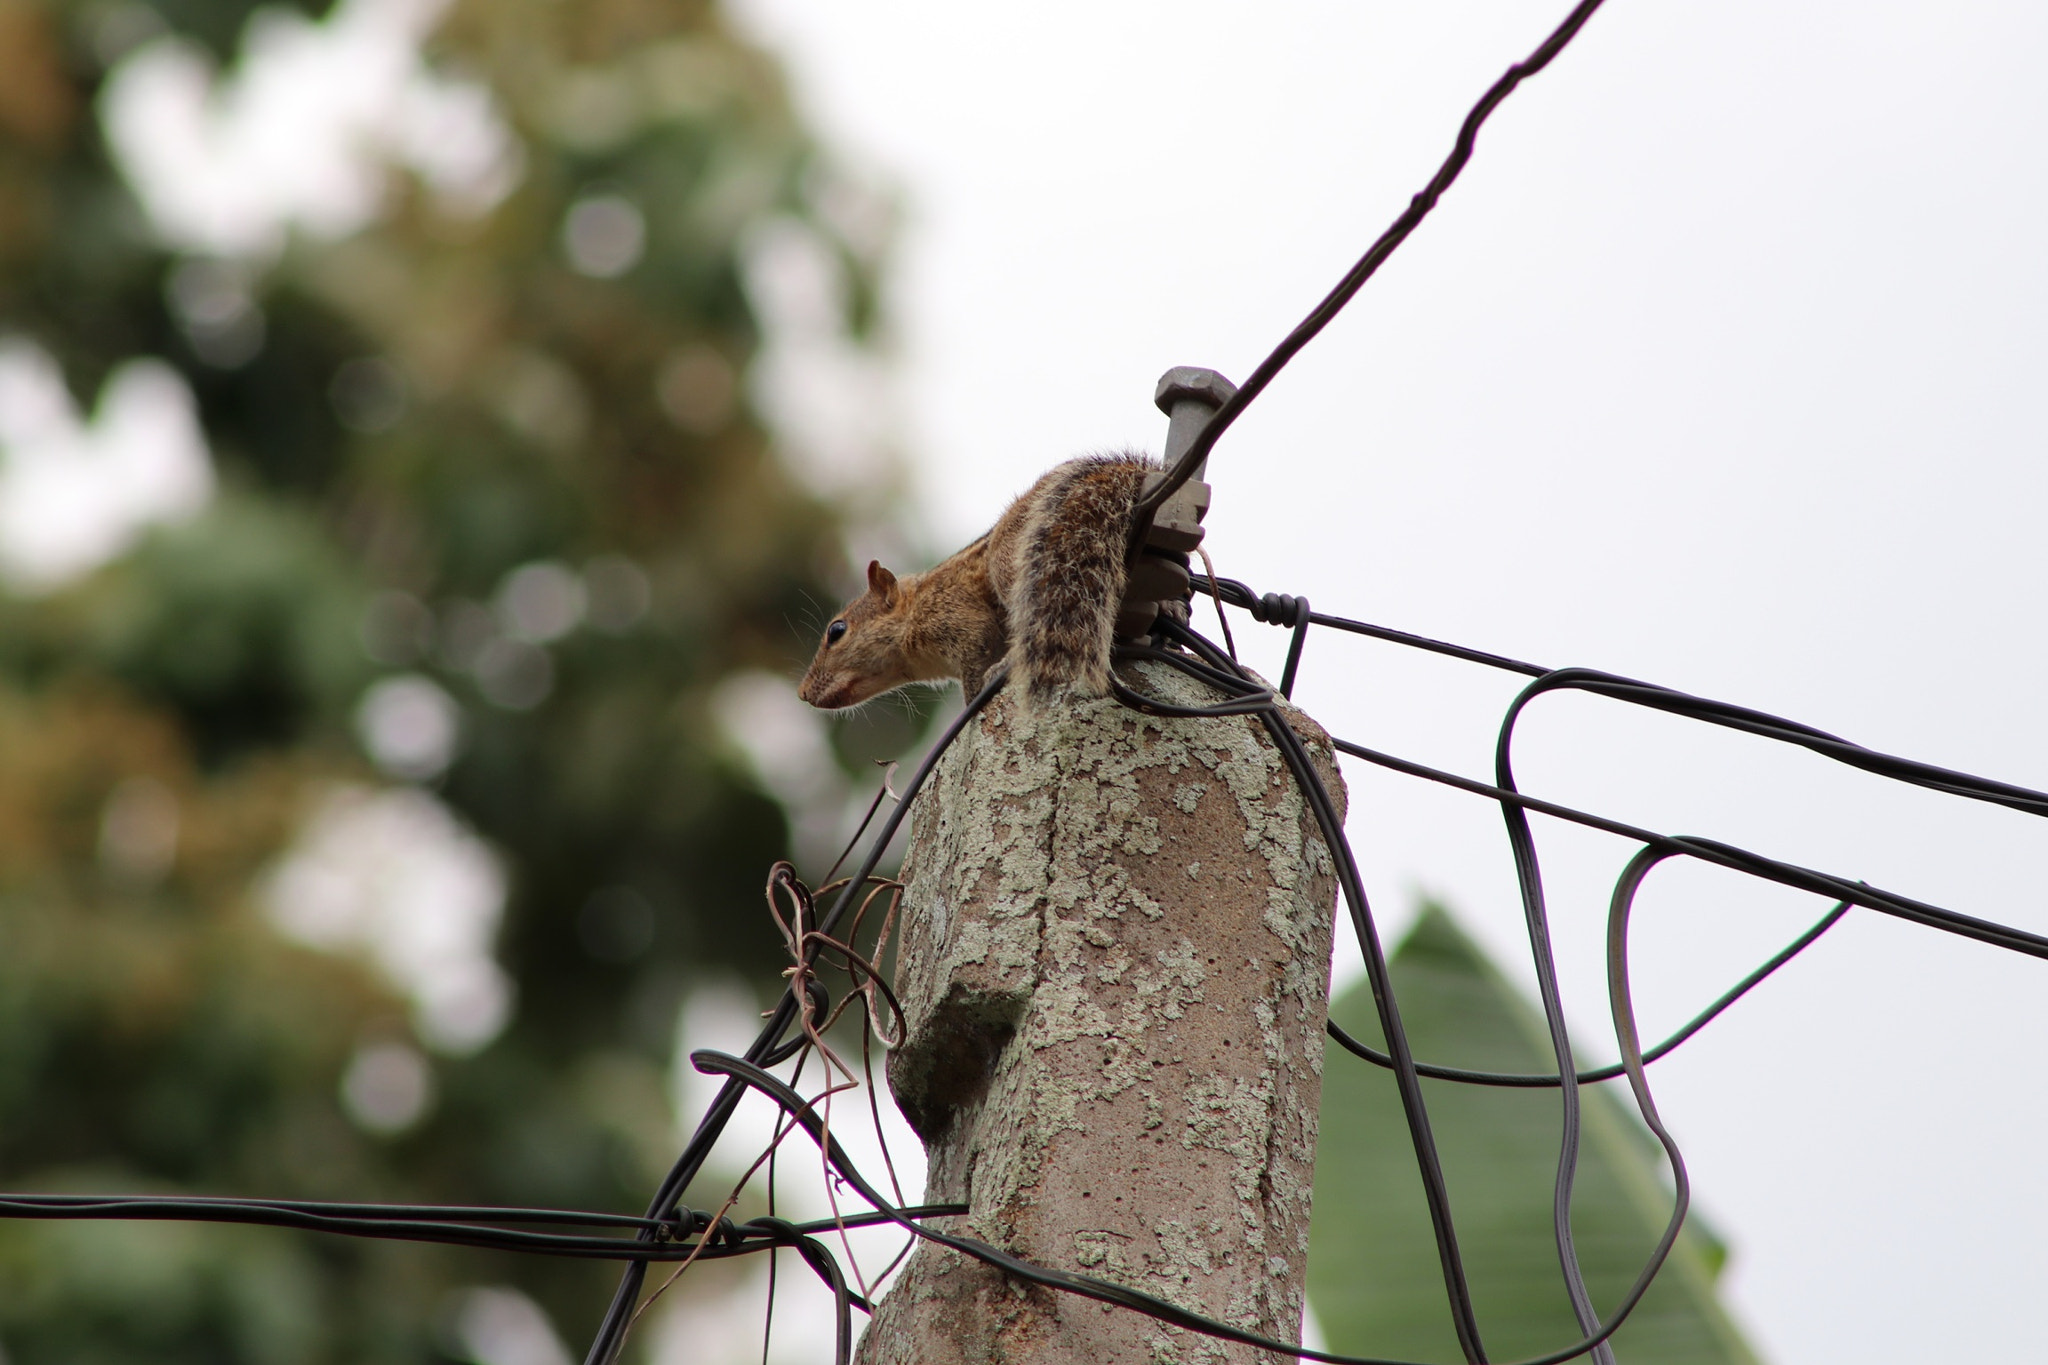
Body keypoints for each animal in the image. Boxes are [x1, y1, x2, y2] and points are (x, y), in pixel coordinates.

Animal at [799, 452, 1179, 710]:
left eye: (837, 631)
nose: (803, 692)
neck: (916, 608)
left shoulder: (957, 621)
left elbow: (975, 660)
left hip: (1012, 562)